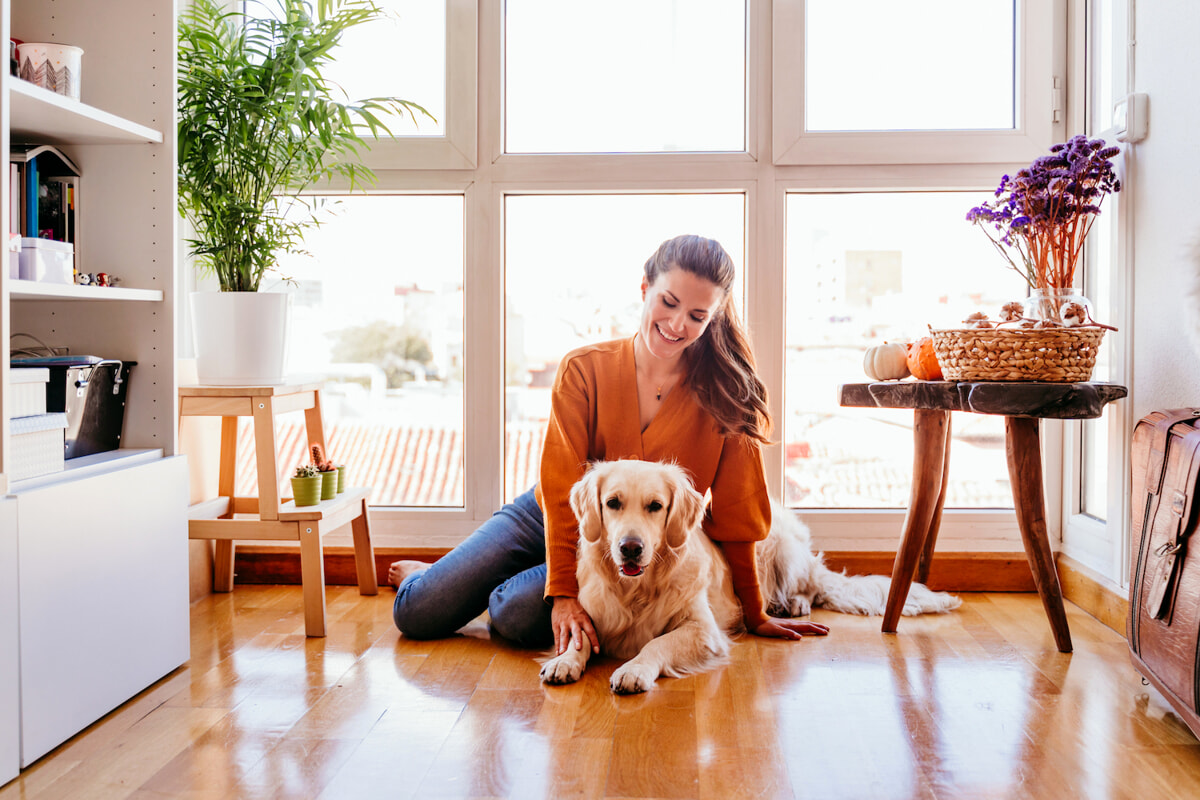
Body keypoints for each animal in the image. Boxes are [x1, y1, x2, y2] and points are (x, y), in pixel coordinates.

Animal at [540, 462, 960, 695]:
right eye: (612, 503)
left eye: (655, 506)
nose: (630, 548)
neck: (635, 588)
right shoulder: (592, 614)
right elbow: (578, 637)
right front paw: (565, 660)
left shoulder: (702, 630)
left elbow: (656, 644)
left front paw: (633, 669)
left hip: (780, 548)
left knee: (810, 587)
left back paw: (792, 605)